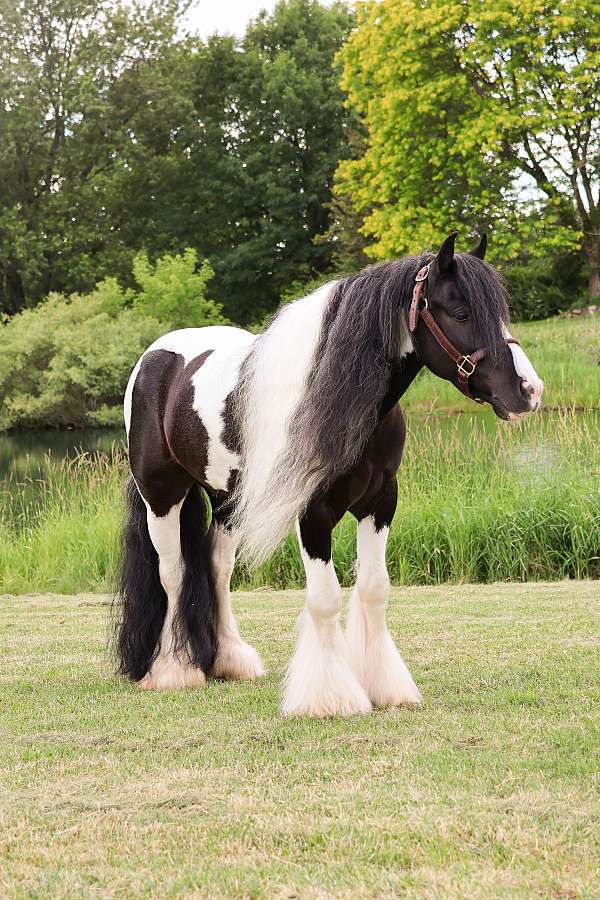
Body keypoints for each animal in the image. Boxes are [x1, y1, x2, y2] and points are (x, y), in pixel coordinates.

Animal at [115, 231, 543, 717]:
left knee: (216, 566)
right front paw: (329, 698)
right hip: (161, 495)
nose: (529, 391)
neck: (338, 396)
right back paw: (172, 669)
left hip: (228, 502)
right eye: (460, 312)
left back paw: (230, 660)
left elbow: (374, 588)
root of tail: (156, 358)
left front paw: (385, 687)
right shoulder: (312, 512)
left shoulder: (380, 502)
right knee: (172, 571)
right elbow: (325, 598)